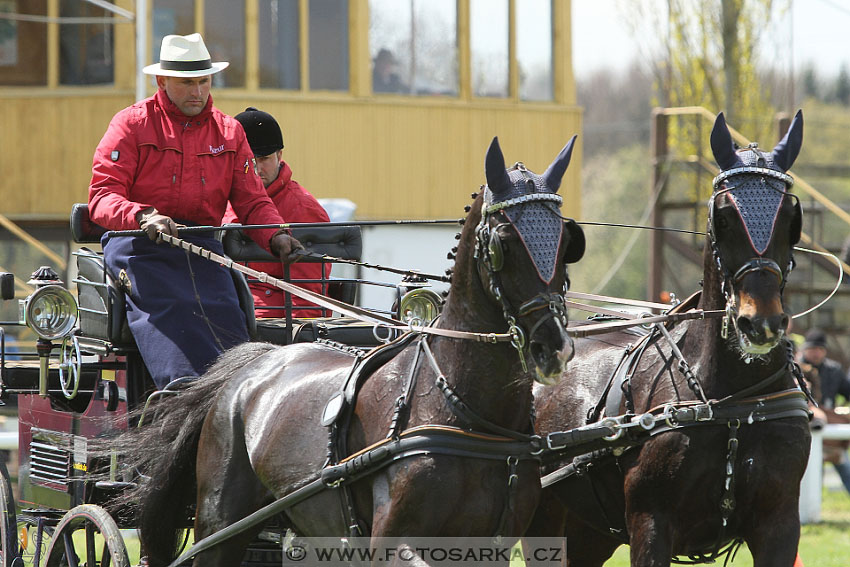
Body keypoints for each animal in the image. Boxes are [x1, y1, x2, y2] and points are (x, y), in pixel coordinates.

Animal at [119, 135, 588, 564]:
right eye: (502, 243)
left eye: (568, 244)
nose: (553, 347)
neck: (465, 413)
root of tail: (254, 363)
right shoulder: (394, 543)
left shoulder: (490, 546)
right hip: (220, 525)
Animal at [528, 112, 812, 567]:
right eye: (723, 216)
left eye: (790, 217)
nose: (760, 323)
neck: (732, 402)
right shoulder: (651, 523)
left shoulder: (780, 523)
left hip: (588, 530)